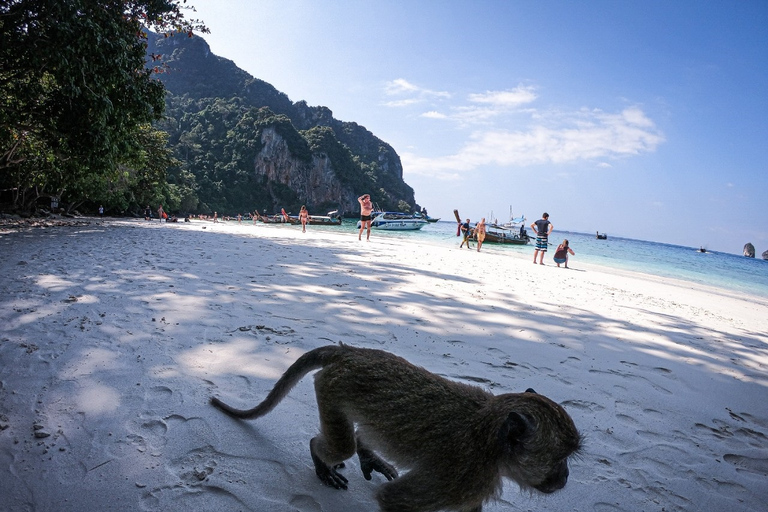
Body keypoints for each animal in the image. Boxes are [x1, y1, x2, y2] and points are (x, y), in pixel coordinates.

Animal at [210, 344, 584, 512]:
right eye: (559, 458)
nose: (565, 476)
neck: (488, 434)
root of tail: (349, 352)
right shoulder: (462, 475)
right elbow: (394, 501)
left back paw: (366, 453)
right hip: (331, 387)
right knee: (338, 444)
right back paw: (322, 455)